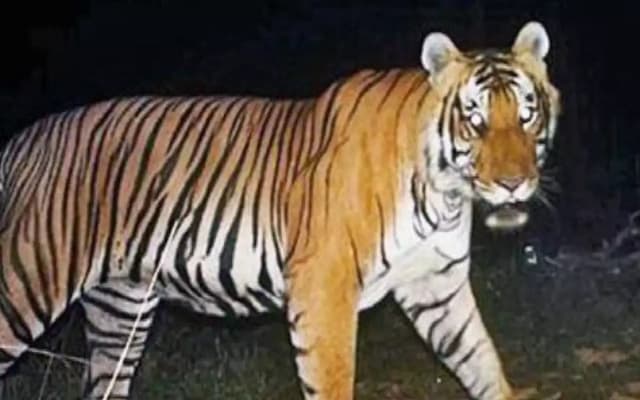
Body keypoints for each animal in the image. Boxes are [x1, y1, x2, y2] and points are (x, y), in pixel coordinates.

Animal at [0, 20, 560, 399]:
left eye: (526, 116)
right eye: (475, 121)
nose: (514, 184)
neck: (445, 193)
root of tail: (20, 140)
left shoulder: (436, 285)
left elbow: (480, 360)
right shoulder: (324, 287)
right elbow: (333, 380)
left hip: (121, 311)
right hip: (28, 283)